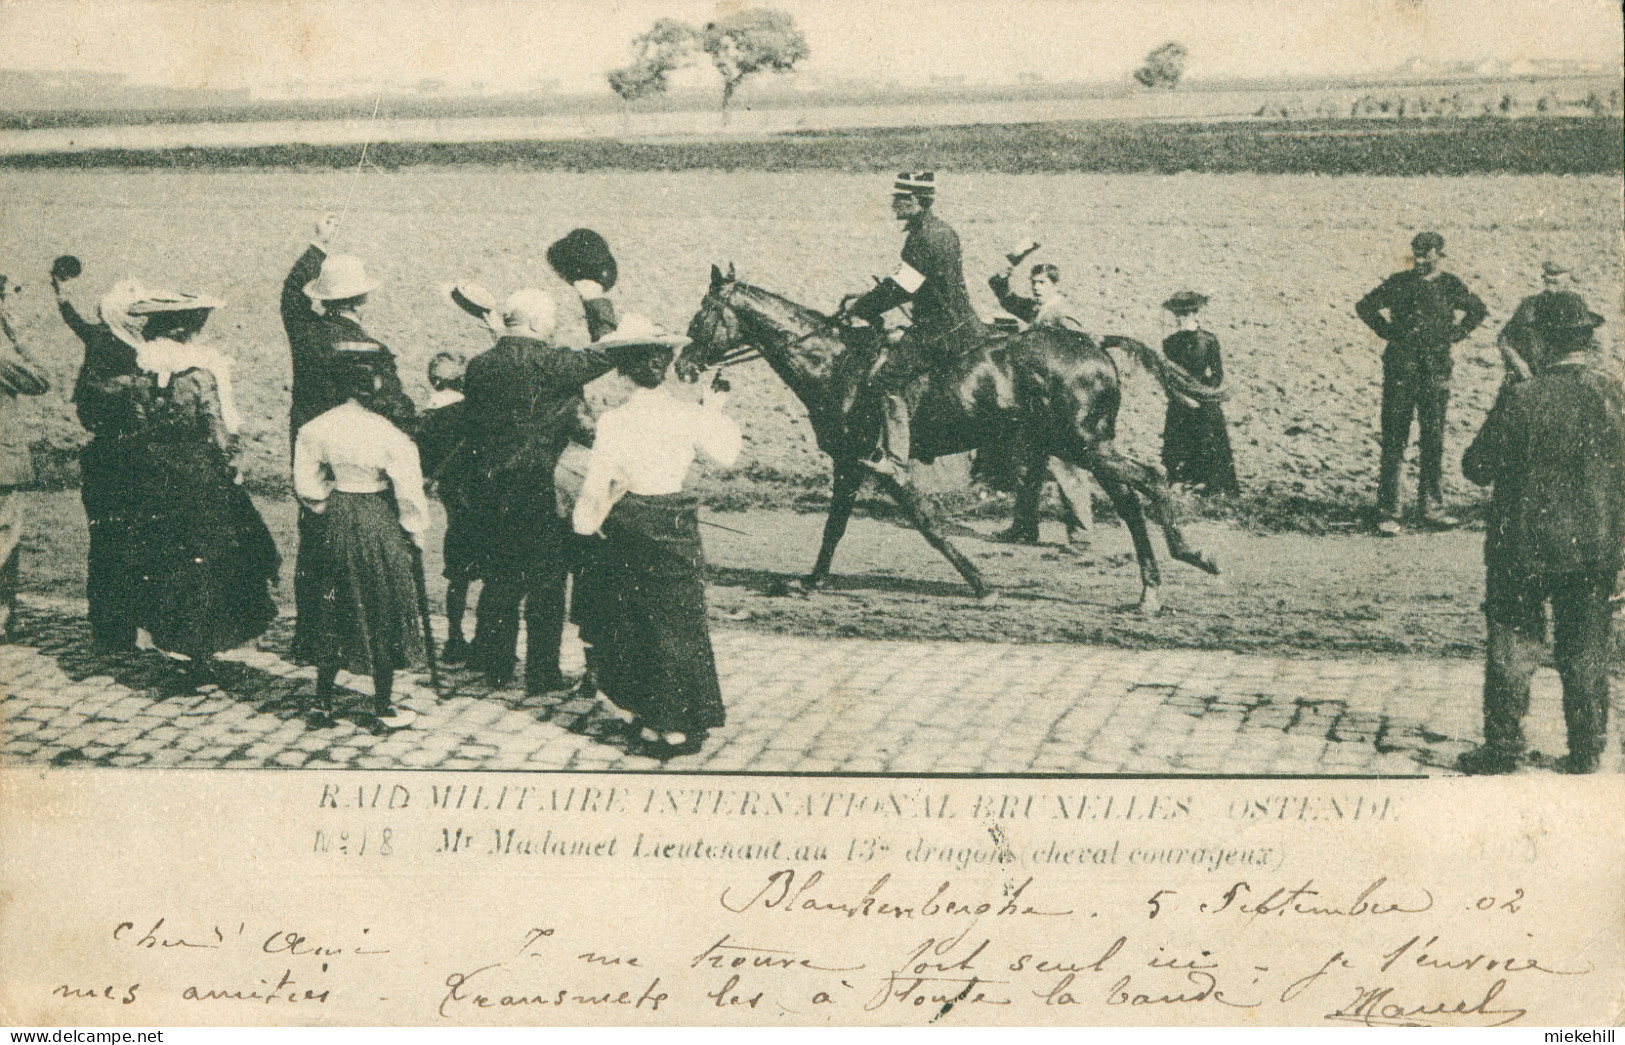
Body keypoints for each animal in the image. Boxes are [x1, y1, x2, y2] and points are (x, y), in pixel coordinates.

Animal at [679, 266, 1222, 614]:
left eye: (702, 311)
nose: (683, 364)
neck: (837, 363)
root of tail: (1090, 341)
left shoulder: (879, 465)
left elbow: (928, 524)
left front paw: (982, 586)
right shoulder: (849, 463)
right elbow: (834, 527)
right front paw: (811, 580)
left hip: (1083, 444)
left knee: (1151, 478)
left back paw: (1190, 557)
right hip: (1082, 446)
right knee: (1130, 500)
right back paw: (1150, 591)